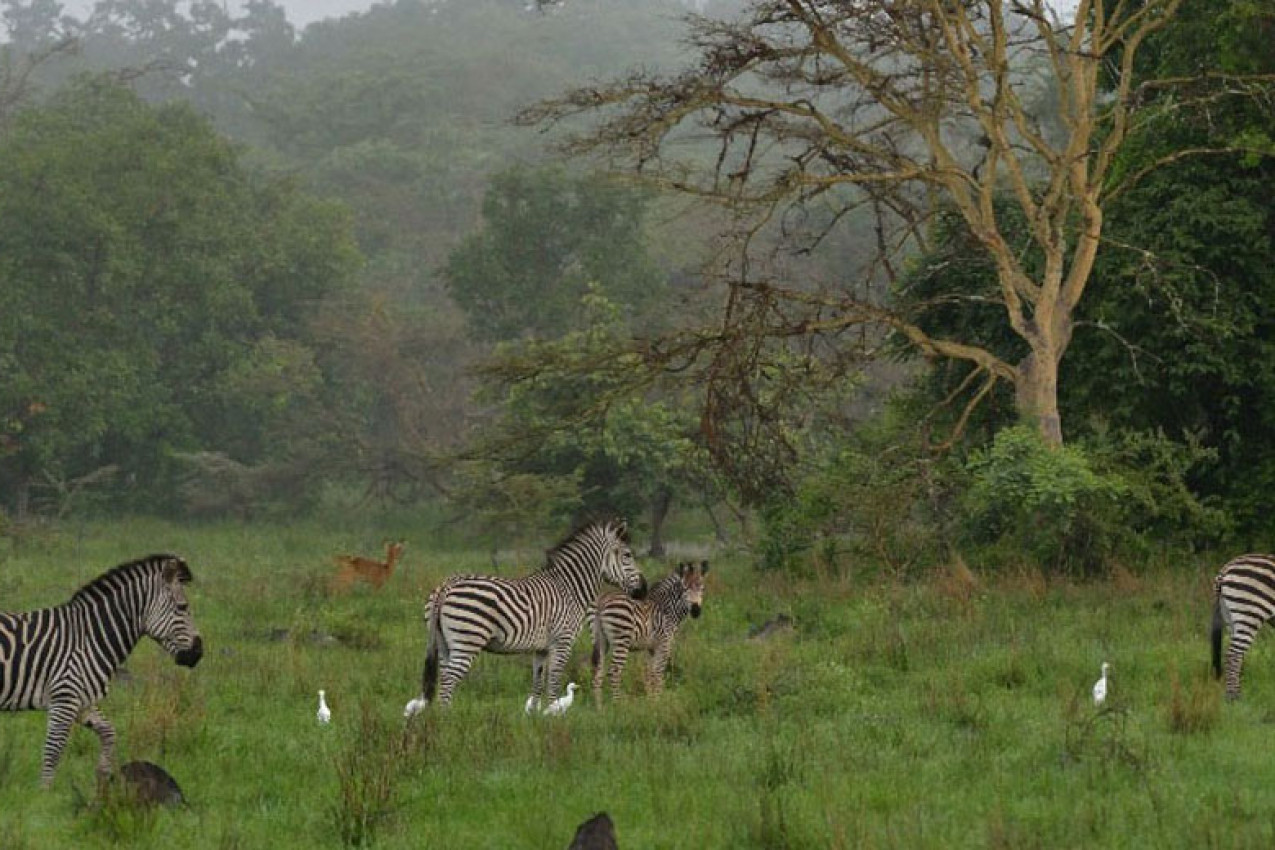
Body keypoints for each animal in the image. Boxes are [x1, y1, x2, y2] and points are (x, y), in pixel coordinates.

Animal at [1, 555, 204, 790]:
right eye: (182, 607)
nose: (198, 653)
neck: (89, 637)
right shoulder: (64, 697)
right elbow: (53, 752)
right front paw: (44, 793)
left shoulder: (82, 700)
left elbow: (109, 732)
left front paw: (103, 778)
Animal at [405, 519, 647, 713]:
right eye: (628, 555)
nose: (643, 590)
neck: (569, 588)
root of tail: (446, 585)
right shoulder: (562, 642)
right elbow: (554, 682)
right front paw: (554, 717)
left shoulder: (541, 648)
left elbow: (537, 684)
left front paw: (536, 718)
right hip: (467, 640)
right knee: (448, 680)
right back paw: (446, 720)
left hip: (444, 643)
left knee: (442, 678)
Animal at [594, 558, 714, 703]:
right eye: (685, 589)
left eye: (702, 589)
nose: (696, 611)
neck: (667, 609)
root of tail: (603, 601)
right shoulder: (664, 644)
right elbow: (658, 672)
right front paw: (658, 700)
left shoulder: (650, 647)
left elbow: (650, 673)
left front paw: (651, 700)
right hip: (621, 640)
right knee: (614, 671)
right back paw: (617, 704)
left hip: (601, 640)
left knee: (598, 672)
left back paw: (599, 706)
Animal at [1203, 555, 1275, 703]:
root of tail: (1224, 570)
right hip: (1250, 613)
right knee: (1233, 655)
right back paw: (1233, 698)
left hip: (1231, 618)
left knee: (1237, 656)